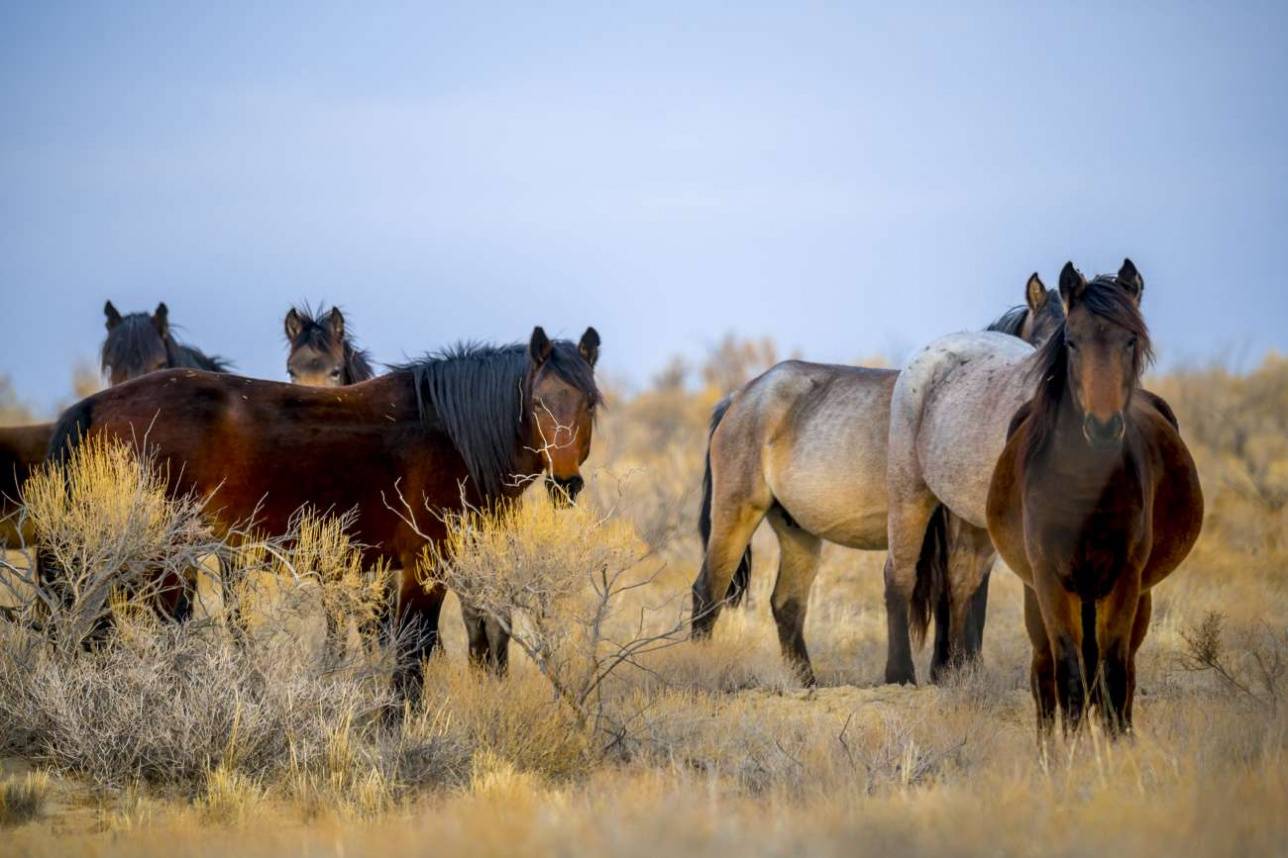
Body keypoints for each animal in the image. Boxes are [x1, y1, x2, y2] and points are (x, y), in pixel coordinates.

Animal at [44, 325, 597, 695]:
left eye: (590, 402)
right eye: (539, 403)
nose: (565, 481)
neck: (447, 432)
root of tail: (95, 405)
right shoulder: (423, 567)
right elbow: (412, 654)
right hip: (159, 558)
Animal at [695, 274, 1066, 680]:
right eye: (1040, 342)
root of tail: (740, 396)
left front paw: (956, 670)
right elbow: (955, 598)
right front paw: (949, 670)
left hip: (798, 530)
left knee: (787, 604)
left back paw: (806, 682)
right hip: (736, 513)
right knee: (708, 592)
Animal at [984, 262, 1205, 736]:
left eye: (1131, 339)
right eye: (1072, 341)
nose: (1103, 427)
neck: (1083, 487)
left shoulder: (1124, 579)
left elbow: (1113, 677)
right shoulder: (1050, 579)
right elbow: (1068, 676)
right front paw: (1070, 751)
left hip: (1136, 598)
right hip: (1039, 598)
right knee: (1044, 675)